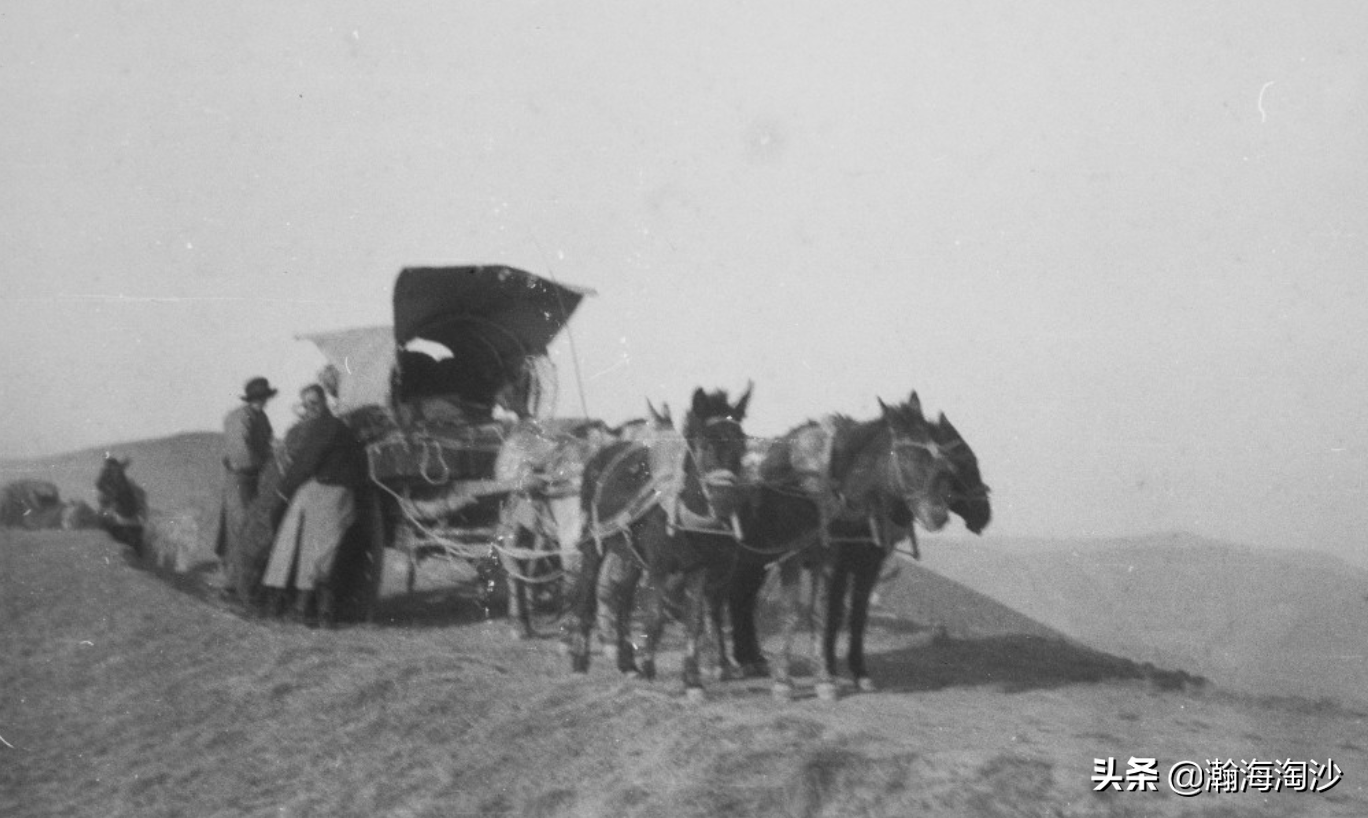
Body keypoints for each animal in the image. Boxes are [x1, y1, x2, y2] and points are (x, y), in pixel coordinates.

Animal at [569, 385, 755, 697]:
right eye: (705, 446)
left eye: (741, 446)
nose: (725, 502)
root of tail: (600, 455)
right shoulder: (658, 566)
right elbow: (655, 617)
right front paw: (648, 668)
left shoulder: (698, 569)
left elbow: (694, 620)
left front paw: (692, 680)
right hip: (594, 545)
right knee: (585, 595)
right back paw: (580, 660)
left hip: (631, 555)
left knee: (622, 598)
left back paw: (626, 663)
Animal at [733, 393, 979, 700]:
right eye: (908, 457)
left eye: (942, 460)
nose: (938, 515)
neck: (818, 486)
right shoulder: (797, 555)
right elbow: (792, 611)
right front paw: (784, 681)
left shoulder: (837, 557)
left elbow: (825, 612)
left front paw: (827, 677)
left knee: (741, 599)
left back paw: (749, 659)